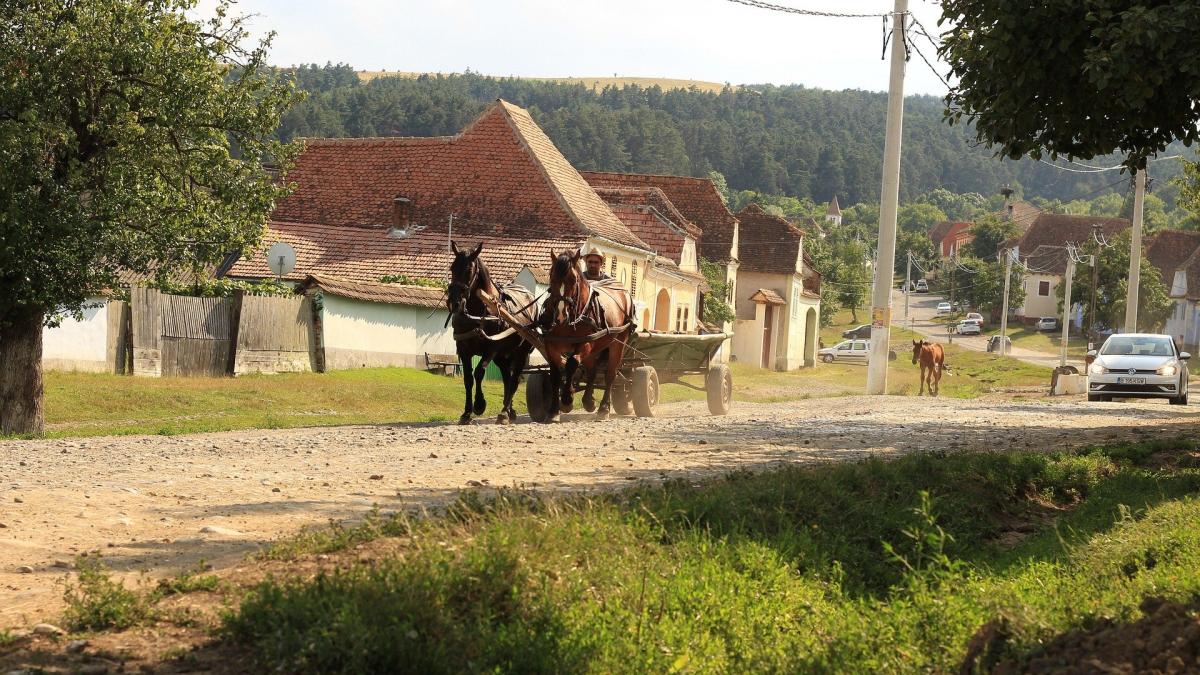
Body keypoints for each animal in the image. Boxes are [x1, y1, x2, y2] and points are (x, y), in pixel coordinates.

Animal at [448, 239, 537, 422]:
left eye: (469, 270)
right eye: (452, 268)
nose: (454, 302)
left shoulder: (491, 348)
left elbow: (479, 372)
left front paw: (479, 404)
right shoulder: (463, 348)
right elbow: (468, 378)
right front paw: (466, 412)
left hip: (520, 352)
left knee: (514, 379)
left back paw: (504, 412)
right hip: (502, 355)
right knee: (507, 377)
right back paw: (509, 410)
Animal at [547, 249, 638, 420]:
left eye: (573, 279)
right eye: (552, 276)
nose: (561, 314)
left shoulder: (586, 343)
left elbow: (571, 364)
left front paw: (567, 399)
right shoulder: (552, 345)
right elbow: (555, 374)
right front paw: (553, 411)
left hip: (617, 343)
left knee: (610, 374)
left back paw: (604, 408)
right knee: (592, 371)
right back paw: (589, 400)